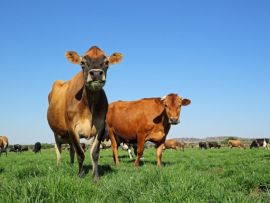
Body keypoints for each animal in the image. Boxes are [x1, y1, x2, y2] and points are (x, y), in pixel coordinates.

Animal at [47, 45, 123, 180]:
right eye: (82, 63)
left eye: (107, 62)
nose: (96, 73)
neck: (89, 105)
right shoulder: (72, 127)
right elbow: (80, 153)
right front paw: (80, 174)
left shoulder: (100, 126)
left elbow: (95, 153)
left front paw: (95, 176)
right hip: (56, 132)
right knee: (58, 149)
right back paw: (59, 166)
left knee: (71, 150)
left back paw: (71, 165)